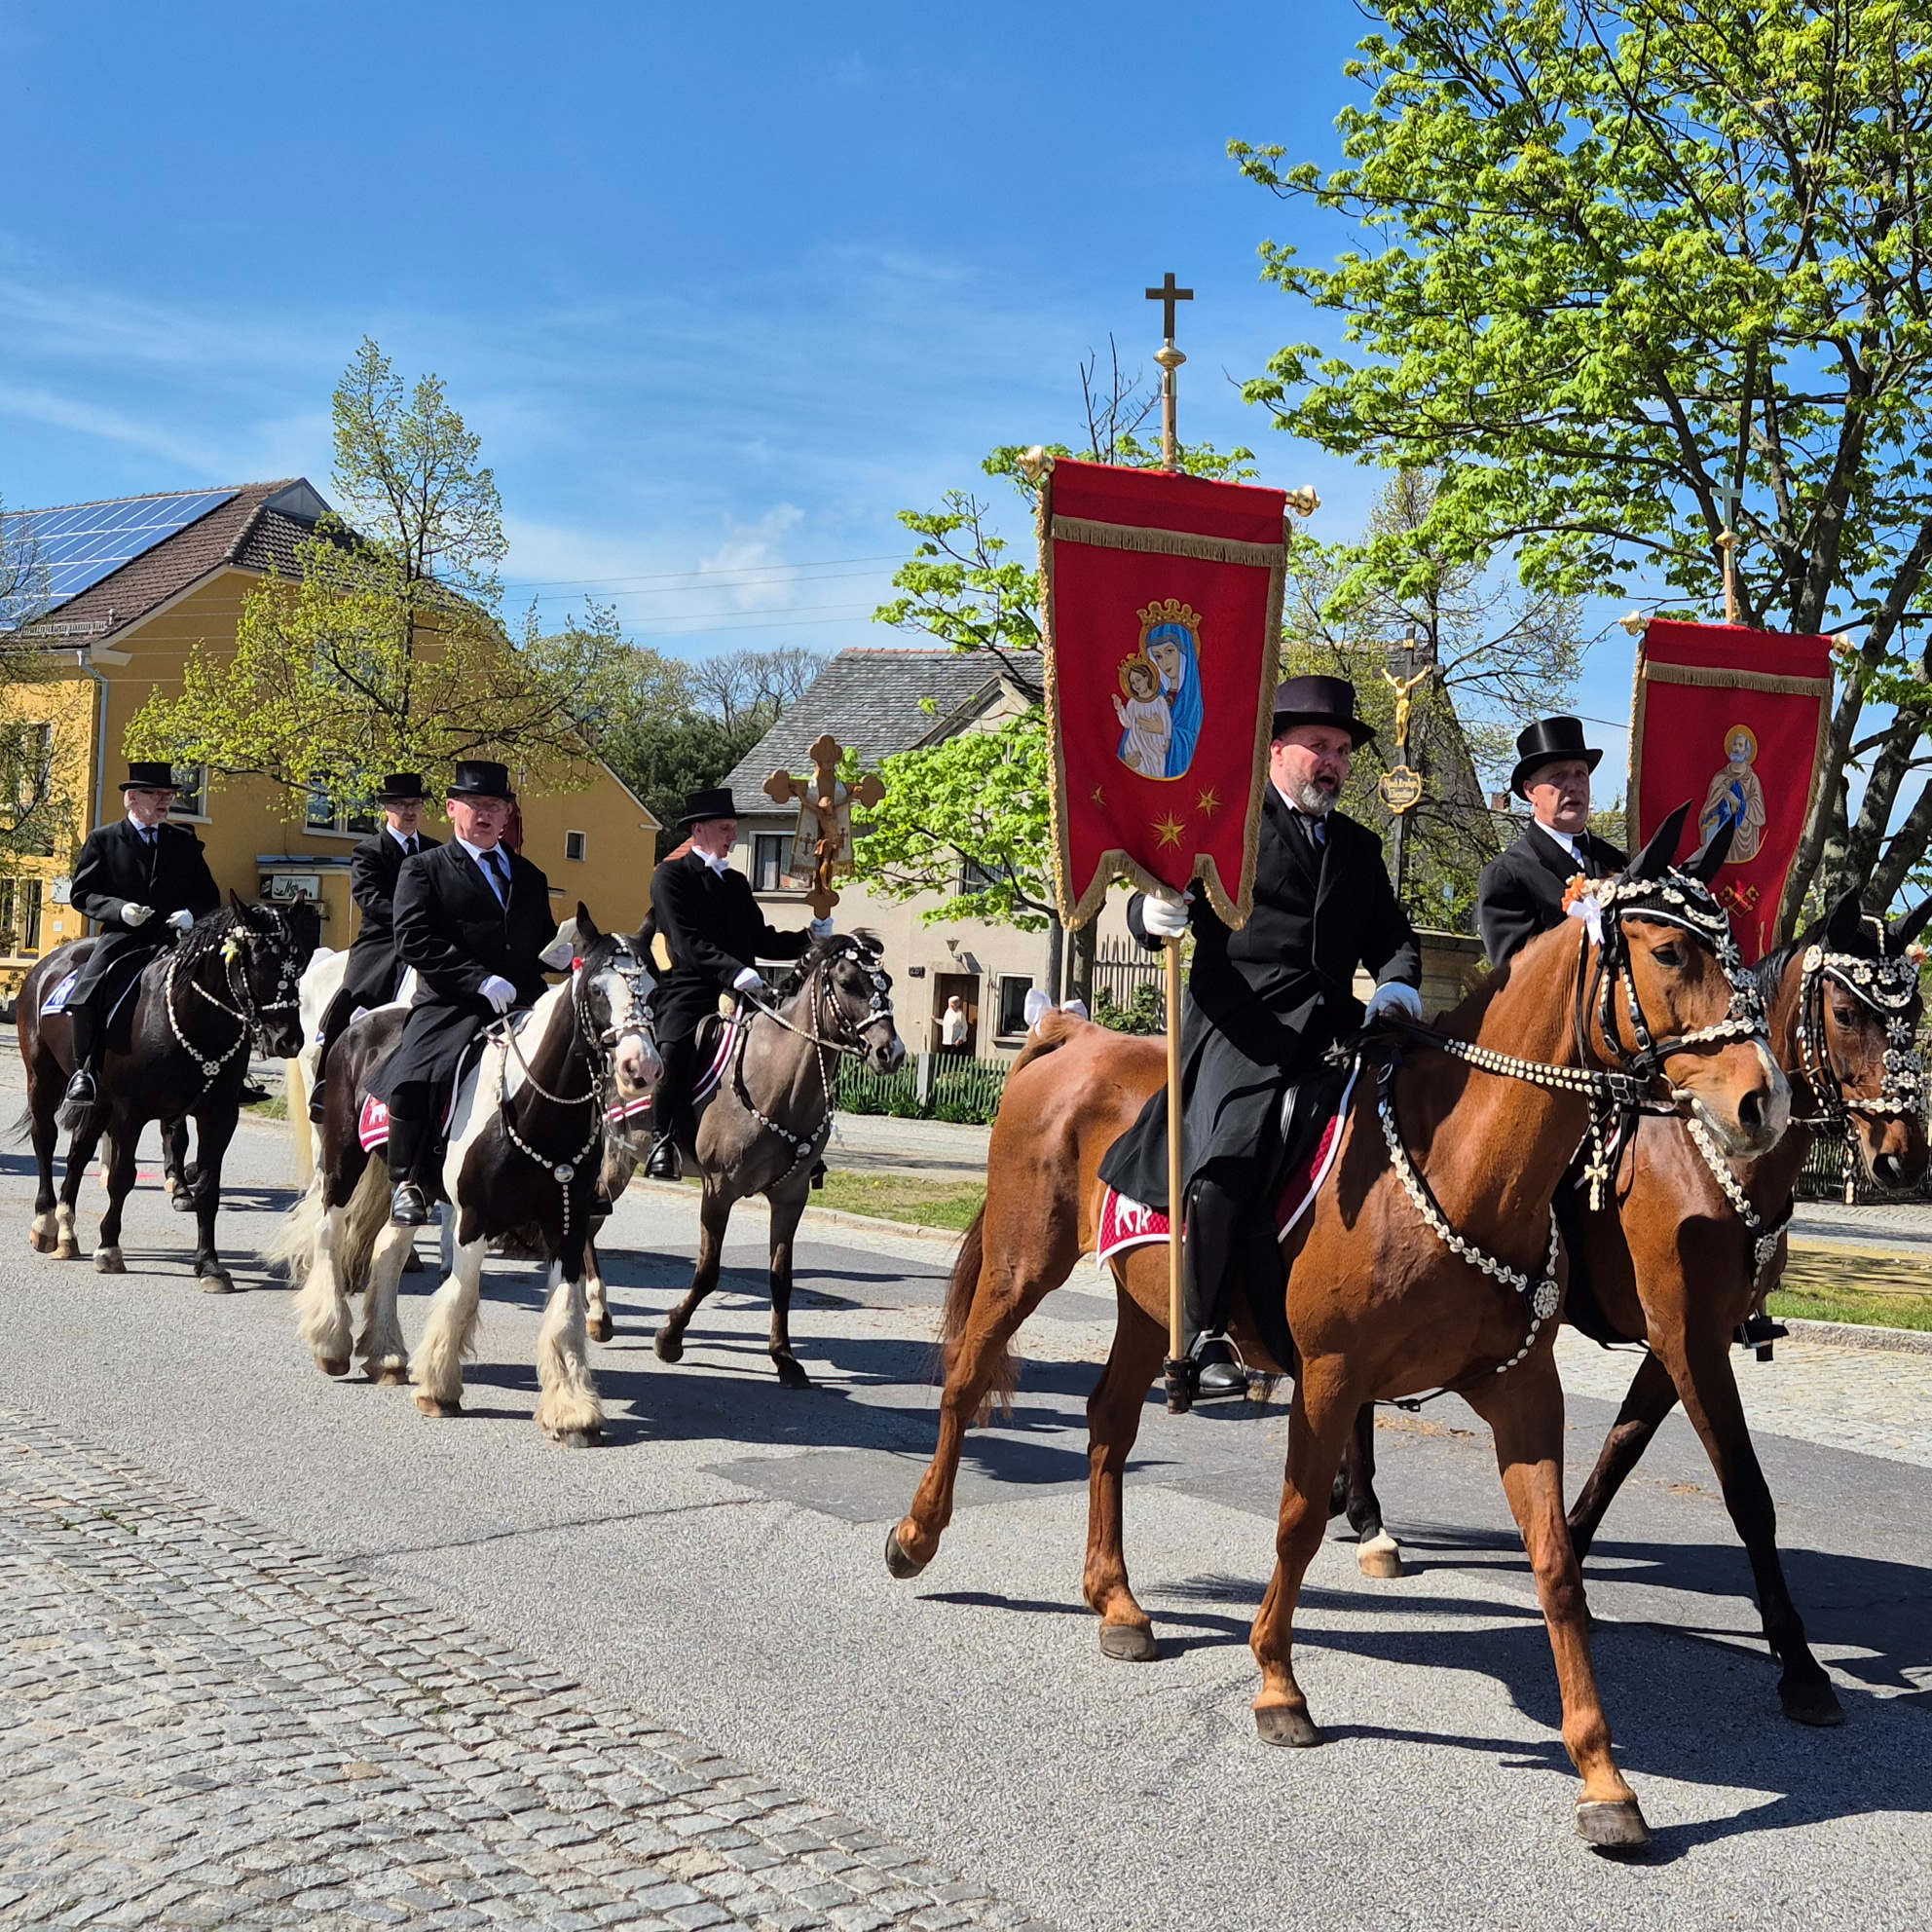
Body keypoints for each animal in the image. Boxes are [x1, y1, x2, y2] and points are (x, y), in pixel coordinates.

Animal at [16, 897, 318, 1289]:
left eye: (299, 960)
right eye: (256, 960)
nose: (288, 1039)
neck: (193, 1019)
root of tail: (47, 965)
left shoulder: (219, 1115)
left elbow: (208, 1186)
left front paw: (209, 1264)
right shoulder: (129, 1112)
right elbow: (122, 1177)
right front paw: (109, 1249)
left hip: (98, 1102)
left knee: (78, 1153)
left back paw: (67, 1231)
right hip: (43, 1080)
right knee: (45, 1140)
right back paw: (46, 1223)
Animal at [275, 908, 659, 1444]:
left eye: (655, 988)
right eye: (598, 989)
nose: (640, 1066)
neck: (533, 1106)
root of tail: (362, 1021)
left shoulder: (567, 1221)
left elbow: (564, 1309)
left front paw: (572, 1410)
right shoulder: (474, 1217)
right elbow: (460, 1293)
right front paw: (439, 1389)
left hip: (405, 1182)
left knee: (388, 1249)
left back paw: (386, 1354)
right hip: (340, 1156)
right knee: (329, 1231)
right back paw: (331, 1341)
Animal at [634, 932, 905, 1388]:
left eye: (887, 982)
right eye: (848, 983)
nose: (892, 1053)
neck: (776, 1079)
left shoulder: (790, 1197)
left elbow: (781, 1278)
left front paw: (784, 1357)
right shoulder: (718, 1190)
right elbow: (707, 1271)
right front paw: (669, 1337)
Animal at [885, 815, 1788, 1848]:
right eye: (1672, 952)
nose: (1764, 1103)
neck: (1457, 1161)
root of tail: (1068, 1032)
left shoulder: (1525, 1390)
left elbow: (1558, 1567)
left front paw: (1604, 1779)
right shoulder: (1328, 1379)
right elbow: (1297, 1523)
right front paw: (1278, 1685)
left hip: (1148, 1307)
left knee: (1108, 1420)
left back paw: (1117, 1603)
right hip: (1021, 1260)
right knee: (965, 1380)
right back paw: (915, 1536)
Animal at [1331, 888, 1930, 1729]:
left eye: (1915, 1015)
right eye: (1846, 1012)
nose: (1905, 1158)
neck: (1707, 1161)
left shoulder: (1680, 1342)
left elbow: (1619, 1451)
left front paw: (1570, 1556)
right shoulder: (1689, 1342)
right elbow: (1747, 1491)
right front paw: (1801, 1664)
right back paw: (1365, 1513)